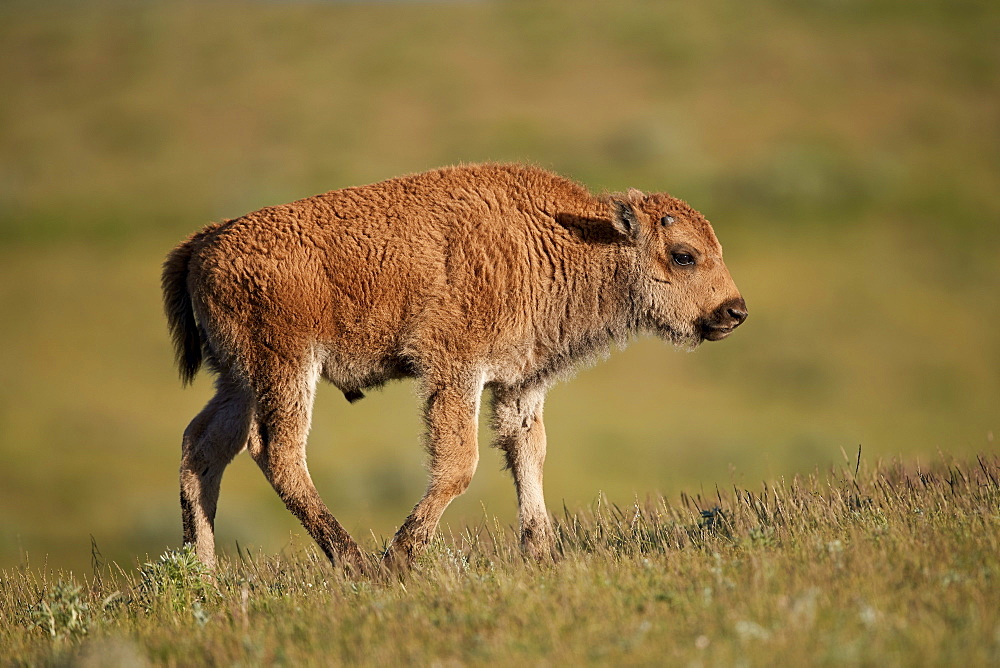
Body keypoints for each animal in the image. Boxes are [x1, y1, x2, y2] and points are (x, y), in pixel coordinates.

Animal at [162, 163, 744, 576]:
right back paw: (357, 564)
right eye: (684, 255)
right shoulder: (455, 371)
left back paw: (203, 571)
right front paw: (401, 557)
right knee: (276, 451)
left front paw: (542, 553)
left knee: (202, 446)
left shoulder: (519, 383)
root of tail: (203, 243)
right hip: (285, 368)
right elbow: (460, 463)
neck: (562, 238)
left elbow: (528, 452)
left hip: (238, 380)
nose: (734, 311)